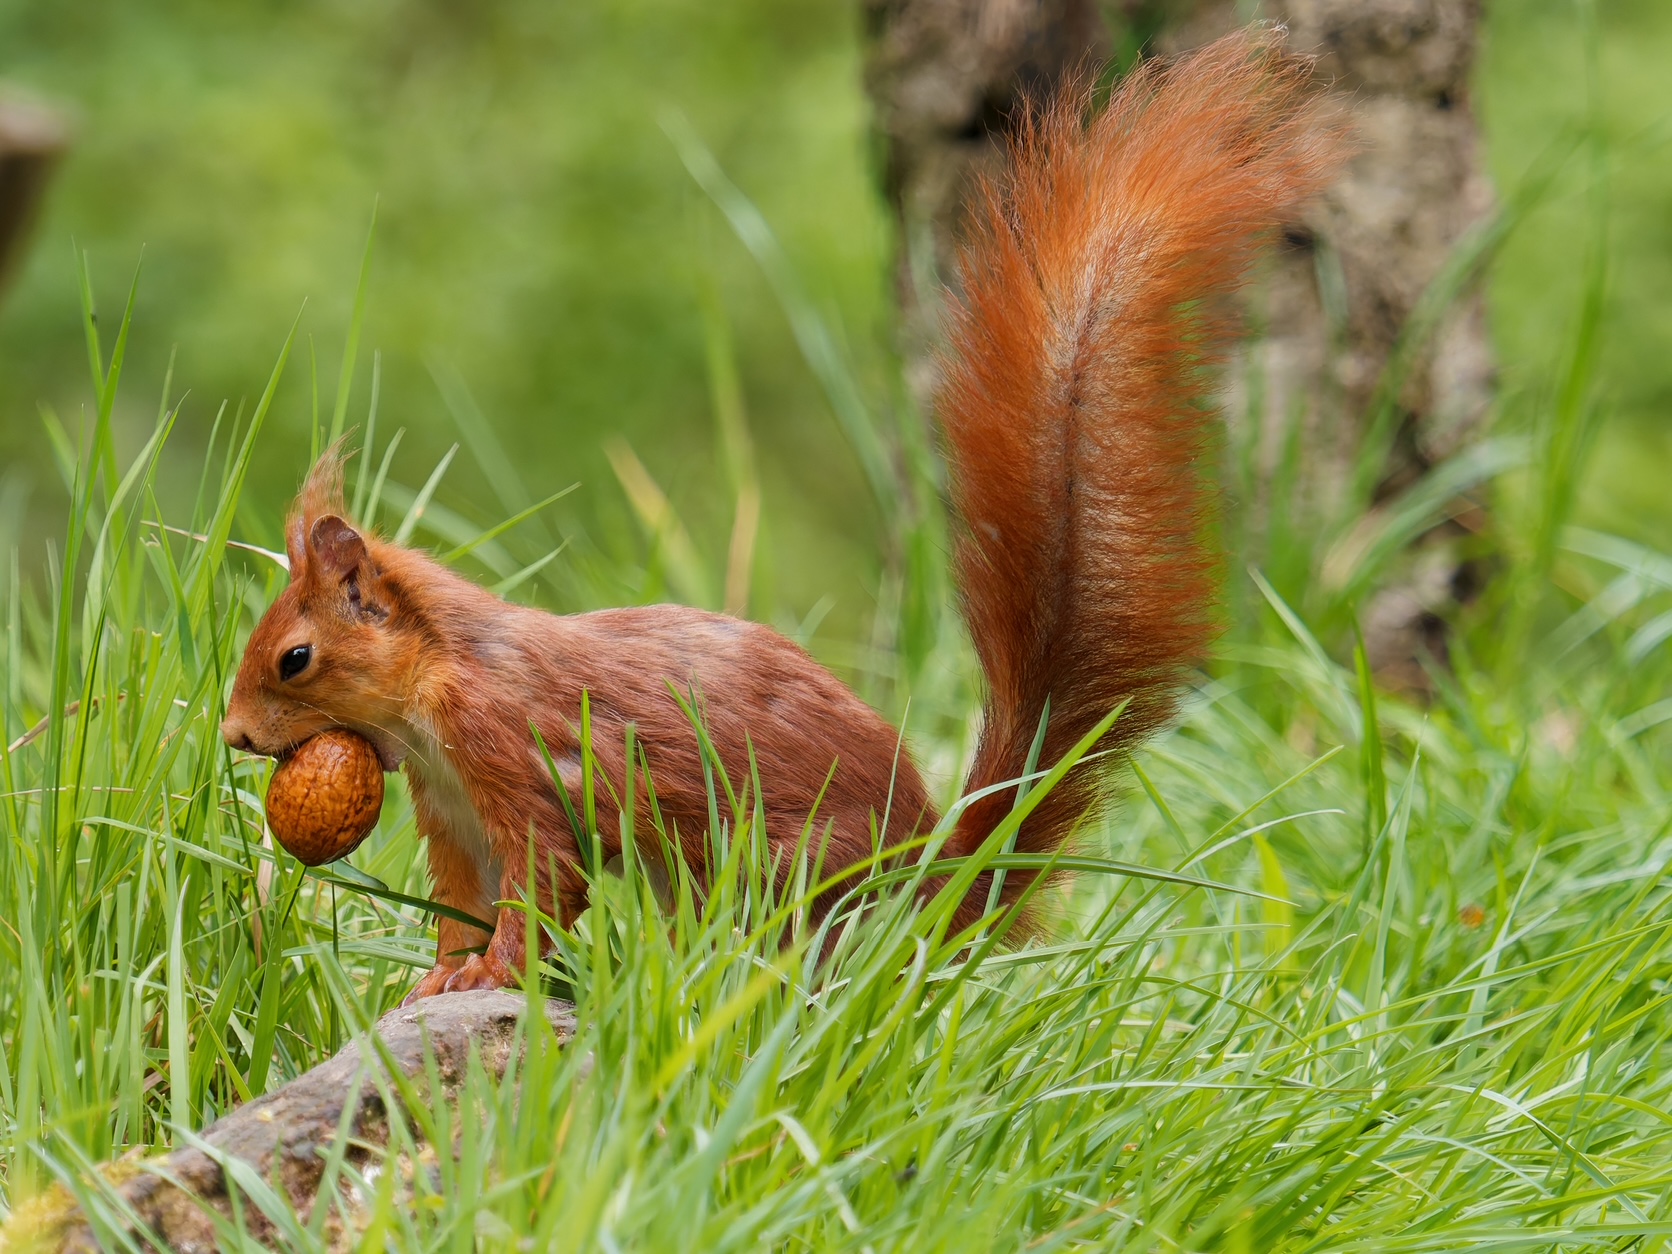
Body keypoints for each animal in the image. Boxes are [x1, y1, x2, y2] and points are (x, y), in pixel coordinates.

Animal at [221, 28, 1342, 1002]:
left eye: (295, 658)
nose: (231, 735)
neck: (438, 684)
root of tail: (922, 891)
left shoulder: (512, 760)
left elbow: (539, 891)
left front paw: (491, 977)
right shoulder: (451, 808)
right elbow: (466, 898)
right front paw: (439, 979)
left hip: (780, 869)